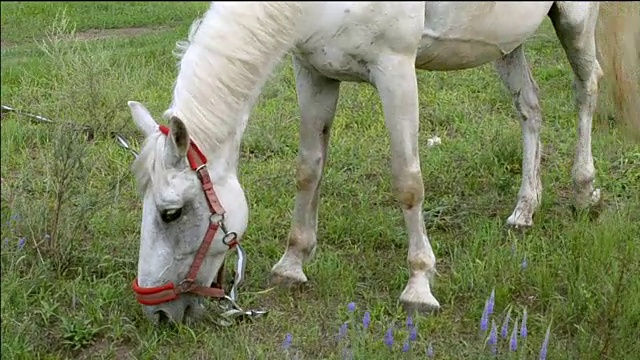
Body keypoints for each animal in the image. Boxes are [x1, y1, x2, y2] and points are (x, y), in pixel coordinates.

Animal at [126, 2, 640, 324]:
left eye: (171, 213)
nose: (157, 312)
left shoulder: (395, 71)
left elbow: (408, 182)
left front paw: (419, 286)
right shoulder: (313, 73)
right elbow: (308, 170)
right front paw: (292, 265)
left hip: (573, 20)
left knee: (586, 89)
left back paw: (583, 190)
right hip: (507, 42)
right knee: (531, 110)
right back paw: (524, 210)